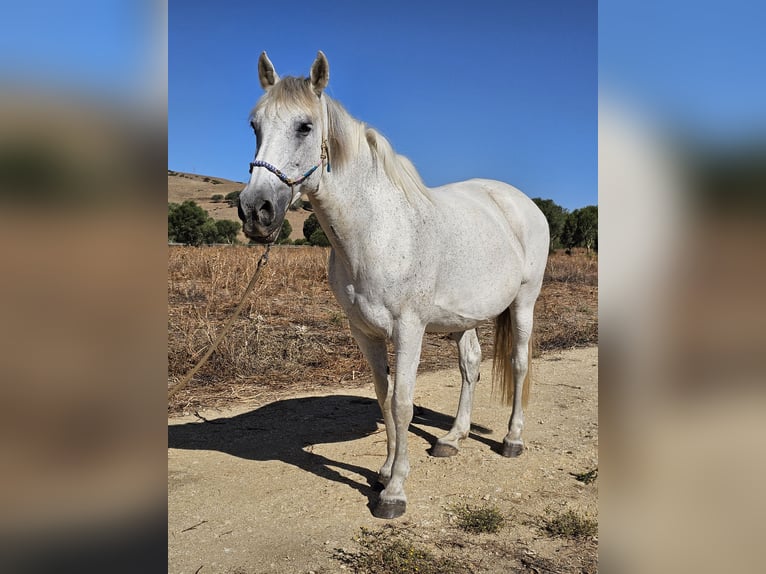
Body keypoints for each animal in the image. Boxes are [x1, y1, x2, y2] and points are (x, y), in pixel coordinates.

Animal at [237, 51, 548, 520]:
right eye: (254, 126)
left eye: (304, 126)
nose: (256, 210)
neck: (376, 231)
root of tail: (523, 202)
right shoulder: (364, 332)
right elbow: (384, 398)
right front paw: (383, 472)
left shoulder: (409, 330)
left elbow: (403, 404)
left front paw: (395, 492)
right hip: (465, 318)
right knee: (471, 365)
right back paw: (452, 439)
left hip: (524, 303)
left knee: (519, 363)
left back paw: (512, 440)